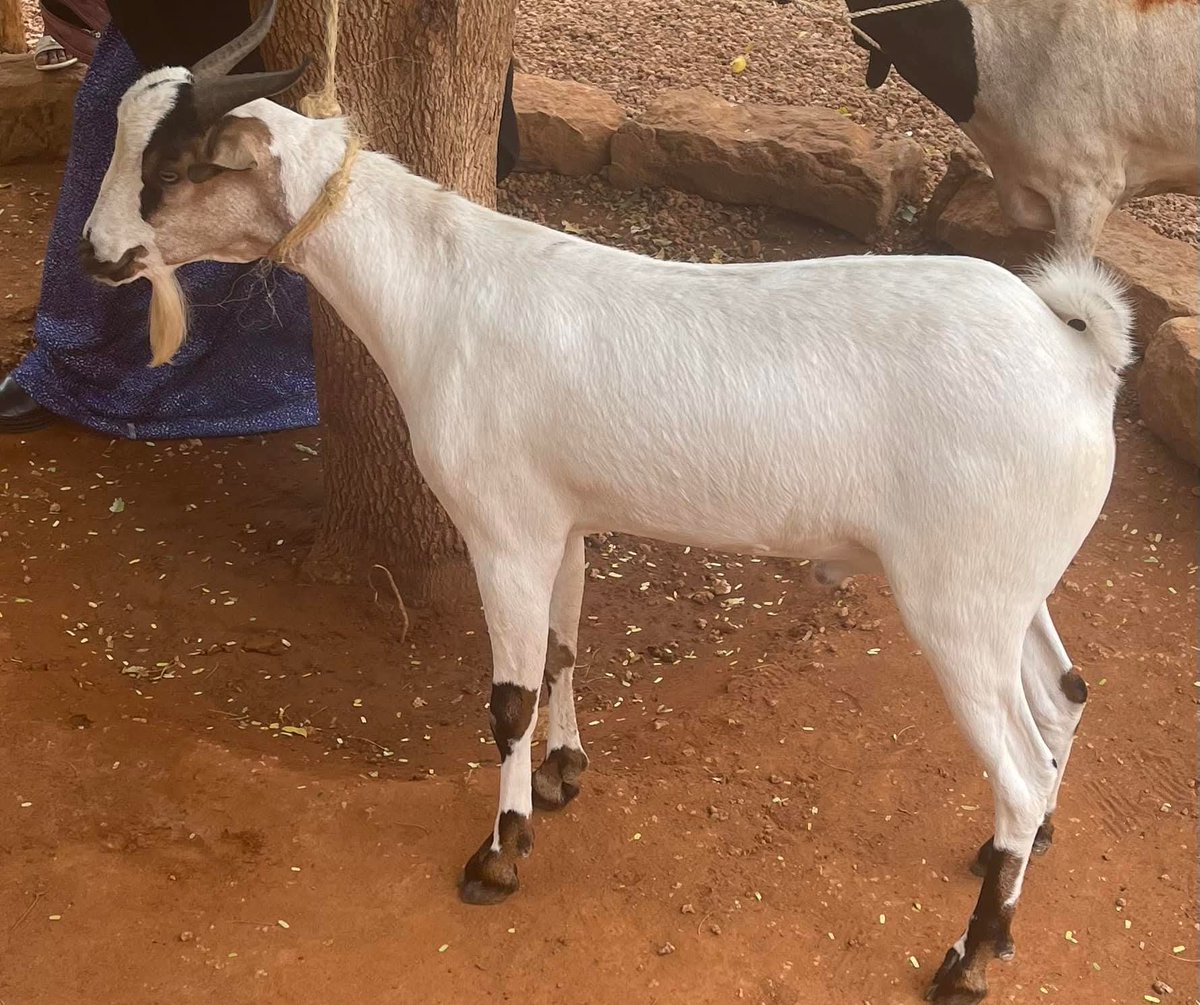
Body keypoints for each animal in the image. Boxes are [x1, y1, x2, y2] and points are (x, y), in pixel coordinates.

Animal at [80, 3, 1133, 1001]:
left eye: (169, 168)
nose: (96, 253)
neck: (439, 286)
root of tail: (1075, 350)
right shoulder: (564, 520)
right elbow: (562, 647)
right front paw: (562, 773)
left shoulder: (501, 526)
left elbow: (506, 698)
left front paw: (499, 854)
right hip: (1006, 581)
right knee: (1063, 696)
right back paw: (1016, 854)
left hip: (954, 601)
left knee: (1019, 767)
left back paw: (971, 955)